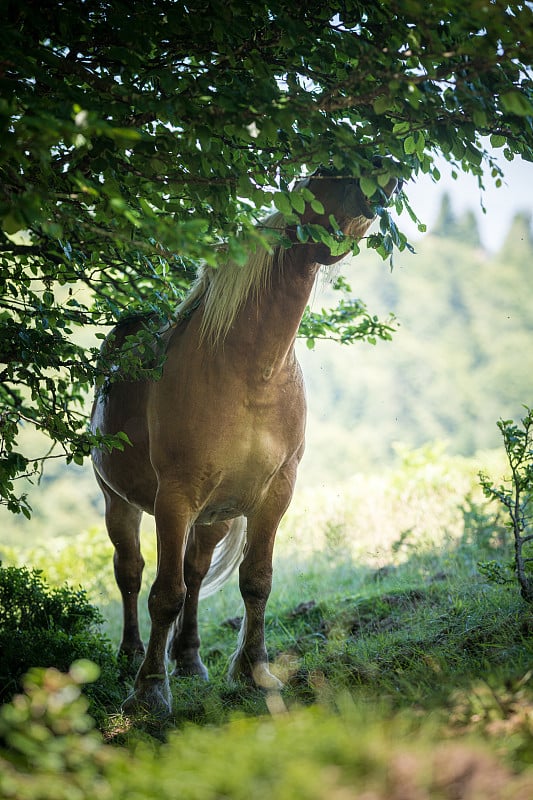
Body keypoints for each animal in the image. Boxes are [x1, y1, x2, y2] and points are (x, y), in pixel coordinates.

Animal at [90, 170, 394, 712]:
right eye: (320, 179)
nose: (385, 175)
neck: (250, 372)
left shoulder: (275, 495)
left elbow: (256, 582)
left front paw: (254, 671)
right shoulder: (174, 498)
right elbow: (162, 595)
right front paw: (149, 692)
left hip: (215, 515)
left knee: (193, 572)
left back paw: (189, 660)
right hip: (119, 501)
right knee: (131, 572)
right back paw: (132, 656)